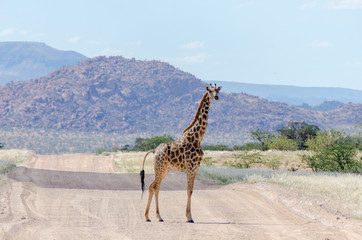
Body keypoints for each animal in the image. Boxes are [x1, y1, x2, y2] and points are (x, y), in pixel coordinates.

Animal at [141, 83, 221, 223]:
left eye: (217, 90)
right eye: (210, 91)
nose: (216, 97)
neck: (198, 138)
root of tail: (154, 151)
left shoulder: (196, 167)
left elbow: (191, 190)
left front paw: (189, 216)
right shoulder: (191, 166)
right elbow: (188, 190)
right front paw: (189, 217)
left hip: (165, 169)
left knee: (154, 187)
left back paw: (155, 216)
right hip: (160, 168)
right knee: (153, 187)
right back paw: (151, 216)